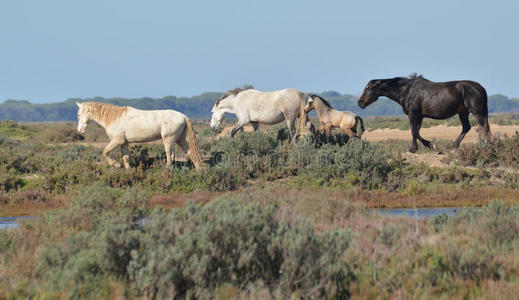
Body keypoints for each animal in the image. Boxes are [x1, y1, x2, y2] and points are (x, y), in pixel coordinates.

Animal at [76, 102, 204, 169]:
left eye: (79, 114)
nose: (80, 130)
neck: (114, 118)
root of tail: (182, 115)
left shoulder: (117, 141)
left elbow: (105, 152)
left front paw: (116, 165)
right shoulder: (124, 143)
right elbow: (126, 157)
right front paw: (128, 170)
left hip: (168, 140)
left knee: (170, 155)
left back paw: (166, 169)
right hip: (181, 140)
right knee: (190, 153)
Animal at [360, 73, 494, 152]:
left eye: (369, 88)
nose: (360, 102)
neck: (407, 91)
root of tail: (481, 88)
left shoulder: (413, 114)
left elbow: (413, 131)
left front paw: (414, 148)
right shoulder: (419, 116)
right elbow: (417, 132)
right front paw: (430, 144)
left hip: (475, 111)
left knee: (483, 127)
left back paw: (485, 146)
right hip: (463, 112)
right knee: (467, 127)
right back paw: (454, 146)